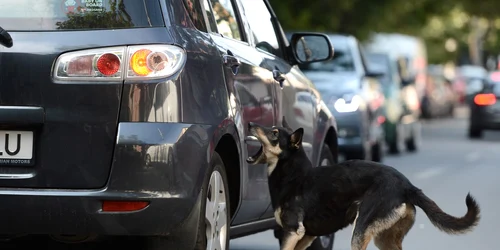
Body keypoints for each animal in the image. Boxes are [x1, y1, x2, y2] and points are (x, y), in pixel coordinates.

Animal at [246, 118, 480, 250]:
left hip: (361, 231)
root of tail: (406, 185)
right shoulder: (305, 237)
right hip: (385, 240)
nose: (249, 124)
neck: (293, 174)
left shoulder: (293, 232)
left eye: (274, 133)